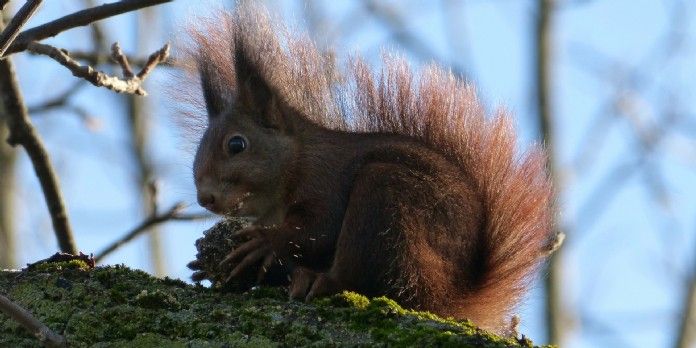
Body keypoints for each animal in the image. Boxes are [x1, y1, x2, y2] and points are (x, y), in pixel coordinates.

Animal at [186, 6, 556, 332]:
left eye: (237, 144)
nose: (205, 198)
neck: (297, 158)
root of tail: (452, 295)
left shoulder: (324, 180)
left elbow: (318, 228)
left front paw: (266, 243)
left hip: (386, 198)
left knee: (368, 279)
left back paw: (321, 280)